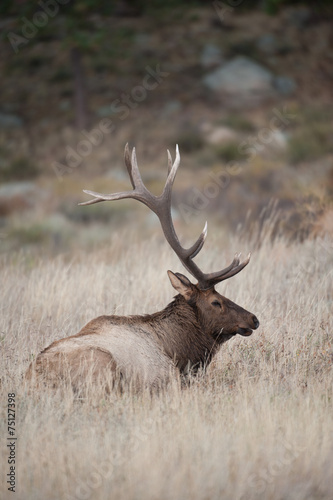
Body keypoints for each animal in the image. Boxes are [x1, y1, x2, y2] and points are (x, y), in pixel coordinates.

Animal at [26, 144, 260, 390]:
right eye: (216, 301)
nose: (254, 319)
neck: (179, 350)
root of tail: (32, 376)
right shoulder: (167, 378)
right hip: (103, 362)